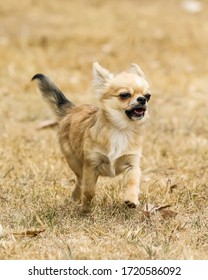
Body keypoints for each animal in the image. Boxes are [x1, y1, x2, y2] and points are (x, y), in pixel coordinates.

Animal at [31, 63, 151, 210]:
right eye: (125, 95)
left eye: (148, 96)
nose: (143, 99)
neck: (120, 129)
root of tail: (73, 109)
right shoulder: (91, 165)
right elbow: (89, 190)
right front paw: (86, 208)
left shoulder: (132, 164)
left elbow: (132, 182)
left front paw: (131, 199)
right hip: (75, 162)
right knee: (80, 181)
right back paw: (76, 199)